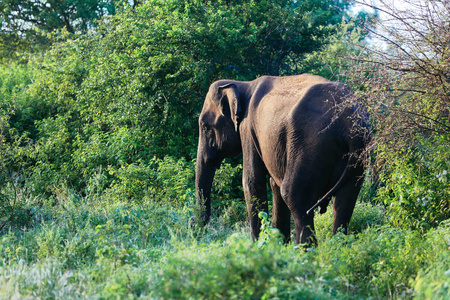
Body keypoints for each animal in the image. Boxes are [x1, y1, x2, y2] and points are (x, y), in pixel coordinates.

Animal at [195, 74, 370, 245]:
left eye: (205, 126)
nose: (195, 224)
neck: (243, 85)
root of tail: (350, 124)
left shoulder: (248, 130)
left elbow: (252, 182)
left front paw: (259, 247)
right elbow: (273, 184)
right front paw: (280, 246)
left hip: (309, 144)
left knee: (294, 195)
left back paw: (305, 251)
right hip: (356, 159)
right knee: (345, 201)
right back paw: (337, 246)